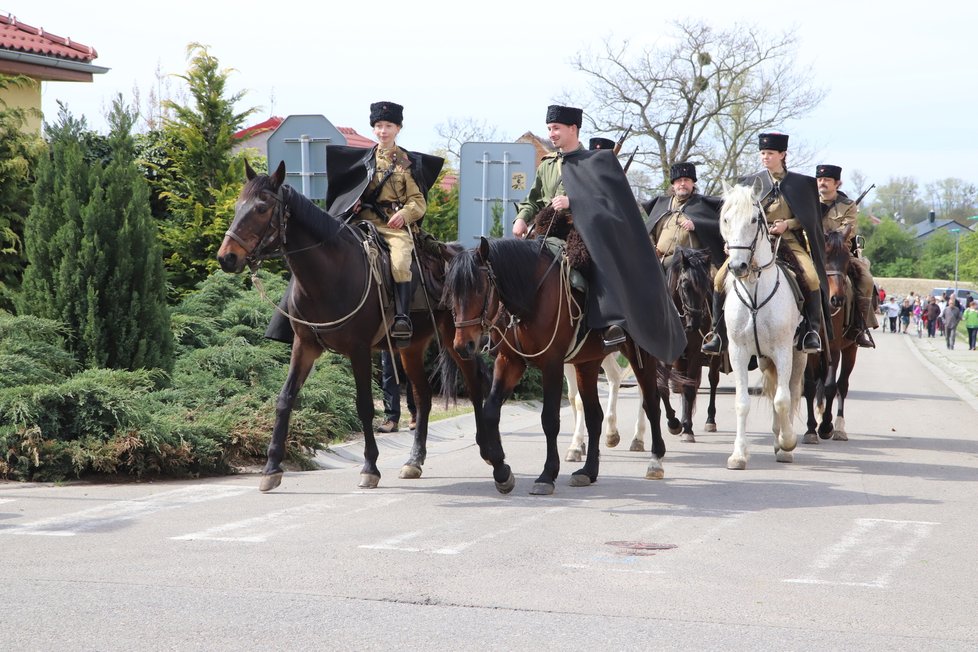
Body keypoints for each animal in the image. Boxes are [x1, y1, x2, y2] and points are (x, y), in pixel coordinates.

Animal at [216, 162, 484, 488]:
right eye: (237, 206)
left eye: (262, 207)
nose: (226, 257)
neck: (331, 273)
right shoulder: (304, 346)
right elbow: (285, 399)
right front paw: (271, 468)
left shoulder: (359, 350)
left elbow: (364, 405)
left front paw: (370, 466)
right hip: (410, 348)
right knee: (422, 397)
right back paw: (414, 461)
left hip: (458, 341)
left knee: (476, 385)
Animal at [444, 236, 668, 494]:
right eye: (451, 292)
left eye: (480, 289)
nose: (463, 346)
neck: (531, 296)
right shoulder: (510, 361)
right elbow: (490, 411)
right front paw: (501, 471)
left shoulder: (552, 364)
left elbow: (550, 419)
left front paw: (547, 475)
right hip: (587, 364)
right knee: (594, 414)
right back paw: (588, 471)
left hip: (642, 353)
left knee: (651, 402)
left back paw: (655, 460)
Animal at [712, 183, 804, 468]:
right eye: (726, 219)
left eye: (754, 220)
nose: (737, 266)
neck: (754, 291)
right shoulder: (738, 352)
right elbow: (742, 403)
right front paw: (739, 454)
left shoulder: (784, 351)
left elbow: (784, 400)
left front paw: (788, 441)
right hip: (765, 359)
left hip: (798, 355)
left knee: (791, 391)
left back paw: (783, 442)